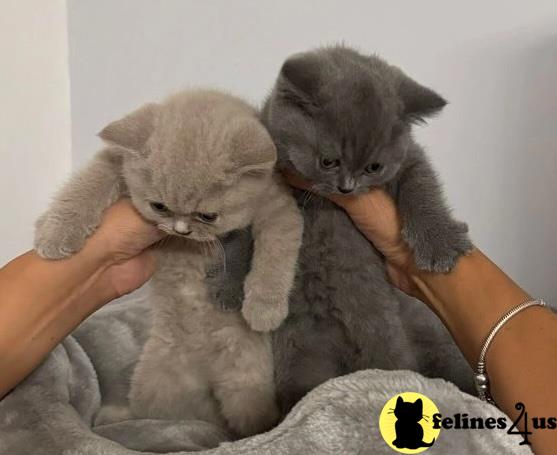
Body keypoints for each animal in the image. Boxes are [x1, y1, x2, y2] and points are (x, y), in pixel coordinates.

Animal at [33, 90, 304, 438]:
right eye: (159, 206)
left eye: (208, 216)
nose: (181, 230)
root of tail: (206, 376)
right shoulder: (115, 162)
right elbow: (89, 182)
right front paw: (55, 231)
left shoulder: (277, 205)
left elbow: (276, 250)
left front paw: (264, 309)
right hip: (155, 383)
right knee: (154, 417)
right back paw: (115, 418)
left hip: (247, 385)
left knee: (247, 421)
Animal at [211, 47, 472, 416]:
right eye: (328, 161)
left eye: (373, 167)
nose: (346, 188)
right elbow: (239, 238)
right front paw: (230, 287)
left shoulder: (408, 160)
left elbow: (421, 186)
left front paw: (440, 243)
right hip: (302, 352)